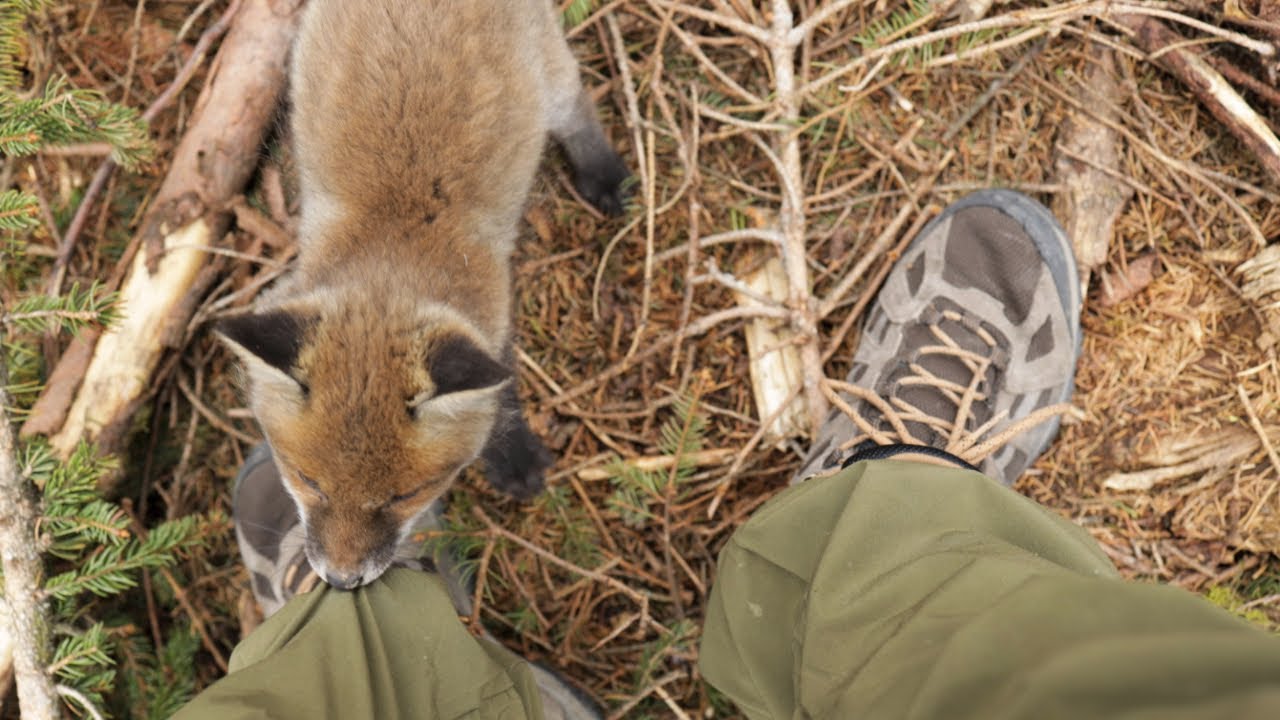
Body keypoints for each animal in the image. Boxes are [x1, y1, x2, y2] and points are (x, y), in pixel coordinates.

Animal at [218, 0, 628, 589]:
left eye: (403, 496)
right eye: (308, 480)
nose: (341, 580)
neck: (394, 253)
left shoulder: (493, 313)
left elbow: (503, 388)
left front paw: (514, 457)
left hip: (549, 71)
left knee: (576, 110)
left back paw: (604, 176)